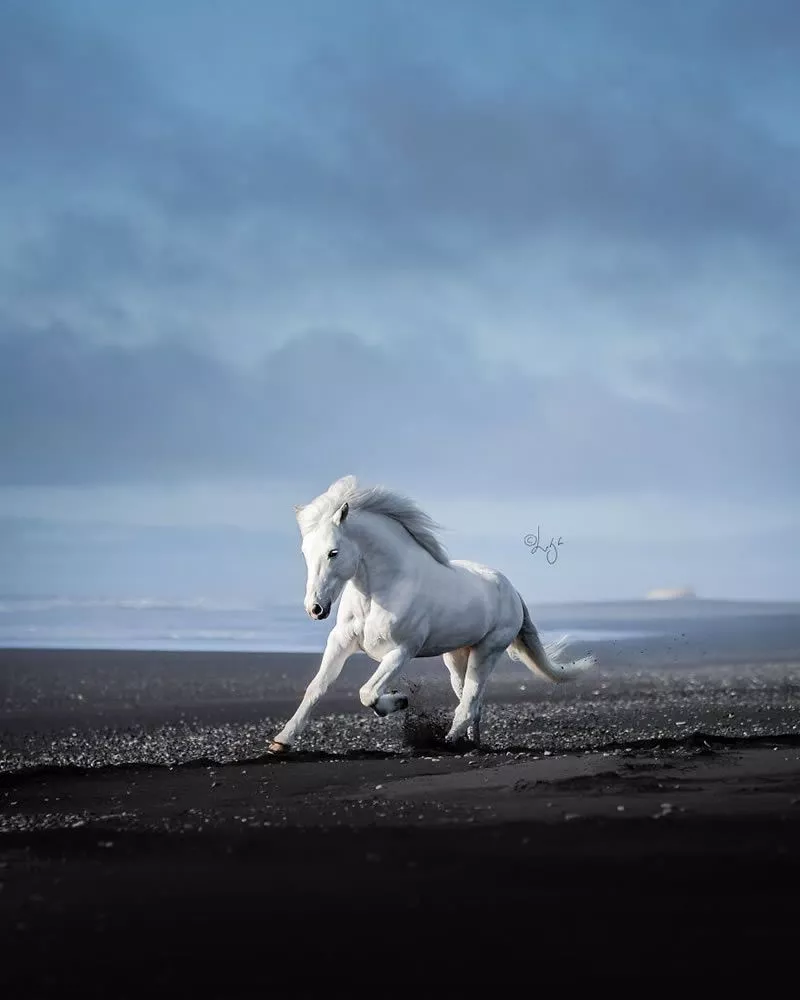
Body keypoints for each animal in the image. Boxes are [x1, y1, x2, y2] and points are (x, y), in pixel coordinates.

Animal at [268, 475, 595, 755]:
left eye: (333, 552)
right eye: (305, 552)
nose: (315, 609)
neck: (378, 594)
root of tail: (512, 591)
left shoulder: (402, 651)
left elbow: (367, 693)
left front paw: (400, 700)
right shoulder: (340, 643)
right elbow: (316, 688)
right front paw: (281, 742)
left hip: (487, 651)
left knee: (469, 701)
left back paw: (449, 741)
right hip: (457, 656)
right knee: (472, 701)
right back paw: (471, 743)